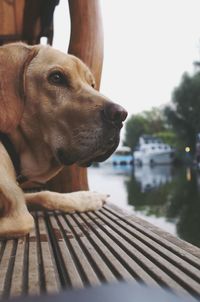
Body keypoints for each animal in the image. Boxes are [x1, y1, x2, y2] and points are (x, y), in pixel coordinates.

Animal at [0, 42, 127, 237]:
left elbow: (44, 194)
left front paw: (86, 198)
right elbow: (27, 216)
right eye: (56, 77)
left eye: (92, 84)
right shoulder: (18, 217)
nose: (120, 115)